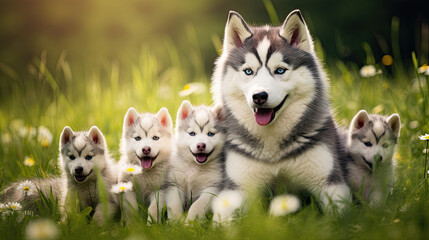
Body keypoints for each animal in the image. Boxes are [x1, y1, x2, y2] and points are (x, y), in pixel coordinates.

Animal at [210, 9, 352, 219]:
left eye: (280, 70)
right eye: (248, 71)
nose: (259, 96)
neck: (273, 151)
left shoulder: (330, 183)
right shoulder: (236, 188)